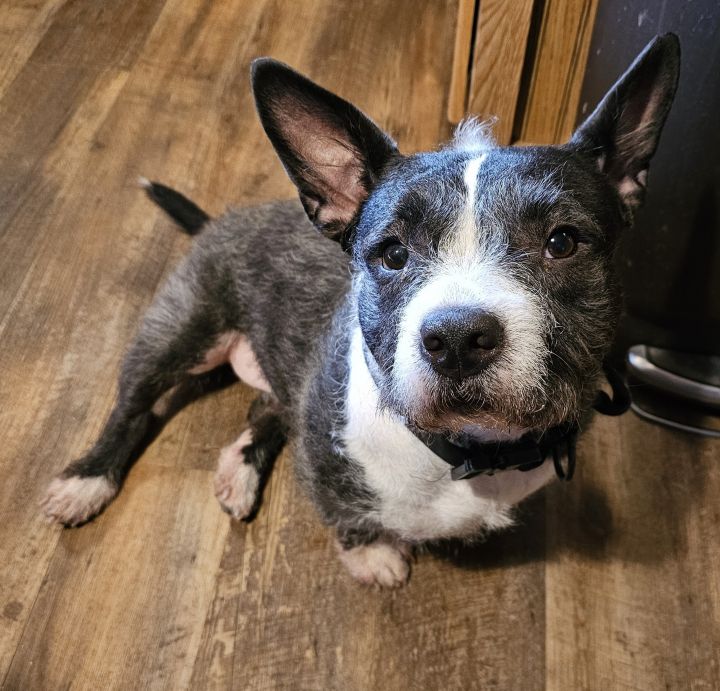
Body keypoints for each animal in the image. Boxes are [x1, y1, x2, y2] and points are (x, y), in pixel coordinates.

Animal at [40, 35, 680, 588]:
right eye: (392, 253)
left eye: (562, 242)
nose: (457, 339)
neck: (462, 453)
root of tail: (217, 220)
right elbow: (343, 510)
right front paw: (371, 551)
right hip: (180, 329)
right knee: (133, 406)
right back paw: (88, 479)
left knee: (266, 406)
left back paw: (241, 469)